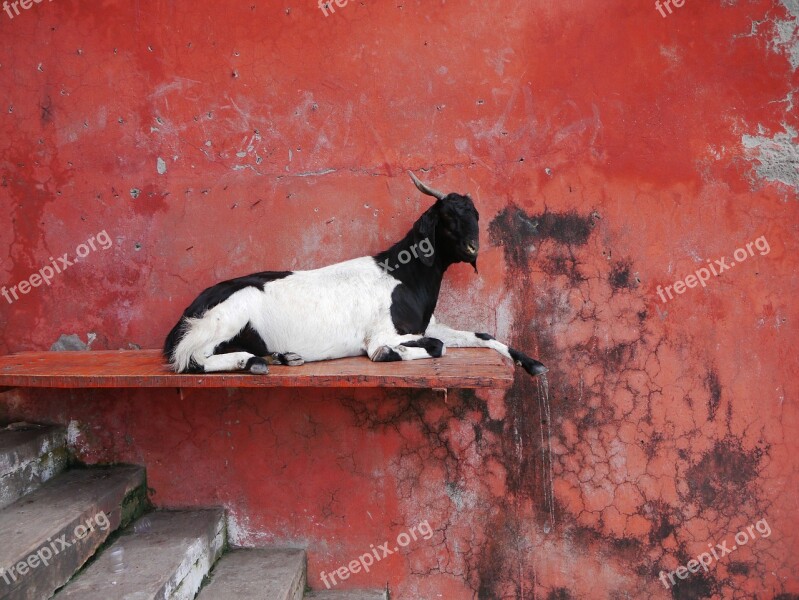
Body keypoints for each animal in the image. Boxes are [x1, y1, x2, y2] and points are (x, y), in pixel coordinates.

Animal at [164, 171, 552, 378]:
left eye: (474, 214)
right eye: (446, 217)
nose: (473, 248)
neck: (403, 275)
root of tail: (189, 312)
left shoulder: (427, 326)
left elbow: (482, 334)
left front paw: (534, 364)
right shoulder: (383, 332)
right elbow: (434, 347)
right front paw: (388, 355)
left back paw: (282, 357)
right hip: (227, 317)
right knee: (191, 359)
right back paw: (255, 362)